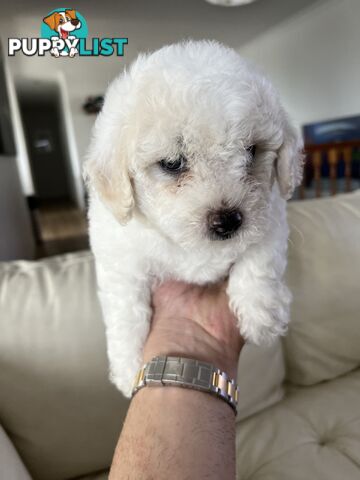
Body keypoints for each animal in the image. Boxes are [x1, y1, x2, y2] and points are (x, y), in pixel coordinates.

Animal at [84, 39, 304, 396]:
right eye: (172, 163)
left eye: (252, 151)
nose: (228, 221)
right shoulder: (118, 258)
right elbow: (125, 309)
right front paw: (128, 366)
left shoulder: (270, 213)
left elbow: (260, 260)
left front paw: (261, 315)